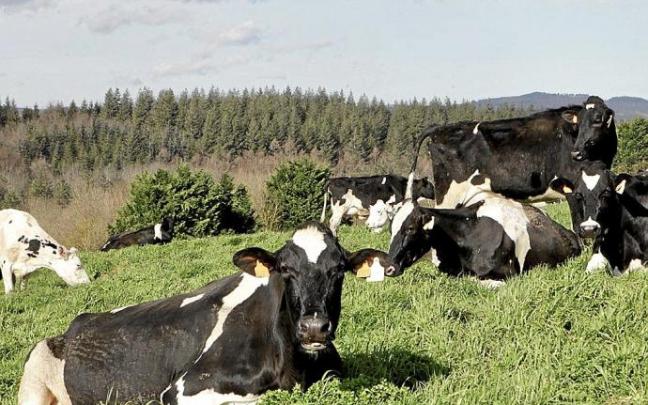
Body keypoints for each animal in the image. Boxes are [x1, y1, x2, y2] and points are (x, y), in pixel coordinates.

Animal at [18, 221, 399, 405]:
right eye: (285, 270)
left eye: (338, 270)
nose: (314, 328)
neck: (294, 367)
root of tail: (76, 323)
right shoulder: (181, 391)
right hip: (33, 382)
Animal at [407, 96, 617, 209]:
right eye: (578, 122)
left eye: (598, 120)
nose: (577, 153)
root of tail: (439, 129)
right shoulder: (572, 186)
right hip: (448, 195)